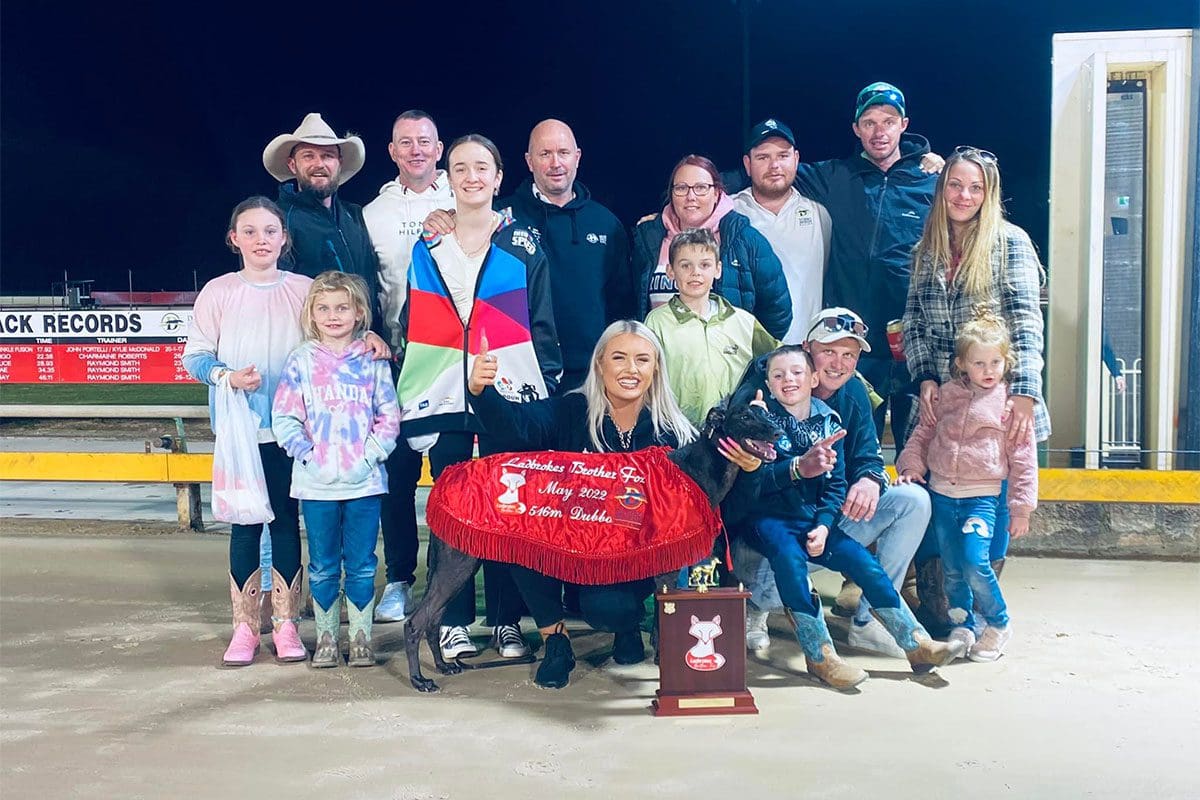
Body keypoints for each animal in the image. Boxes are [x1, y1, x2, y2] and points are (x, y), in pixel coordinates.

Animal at [405, 400, 787, 695]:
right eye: (744, 416)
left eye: (765, 412)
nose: (778, 434)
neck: (692, 469)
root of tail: (444, 480)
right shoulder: (666, 570)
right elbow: (663, 625)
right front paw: (664, 666)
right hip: (458, 562)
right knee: (415, 622)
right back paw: (420, 680)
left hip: (455, 562)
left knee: (431, 619)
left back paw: (443, 666)